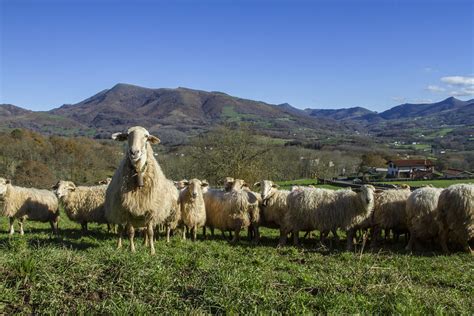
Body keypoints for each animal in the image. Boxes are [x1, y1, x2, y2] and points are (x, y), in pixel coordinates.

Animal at [105, 126, 180, 254]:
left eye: (146, 136)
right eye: (127, 135)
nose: (134, 152)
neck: (139, 171)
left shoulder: (150, 209)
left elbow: (150, 232)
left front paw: (152, 251)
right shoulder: (128, 209)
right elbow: (130, 232)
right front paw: (132, 250)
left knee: (145, 230)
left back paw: (145, 244)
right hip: (119, 211)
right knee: (120, 229)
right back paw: (119, 246)